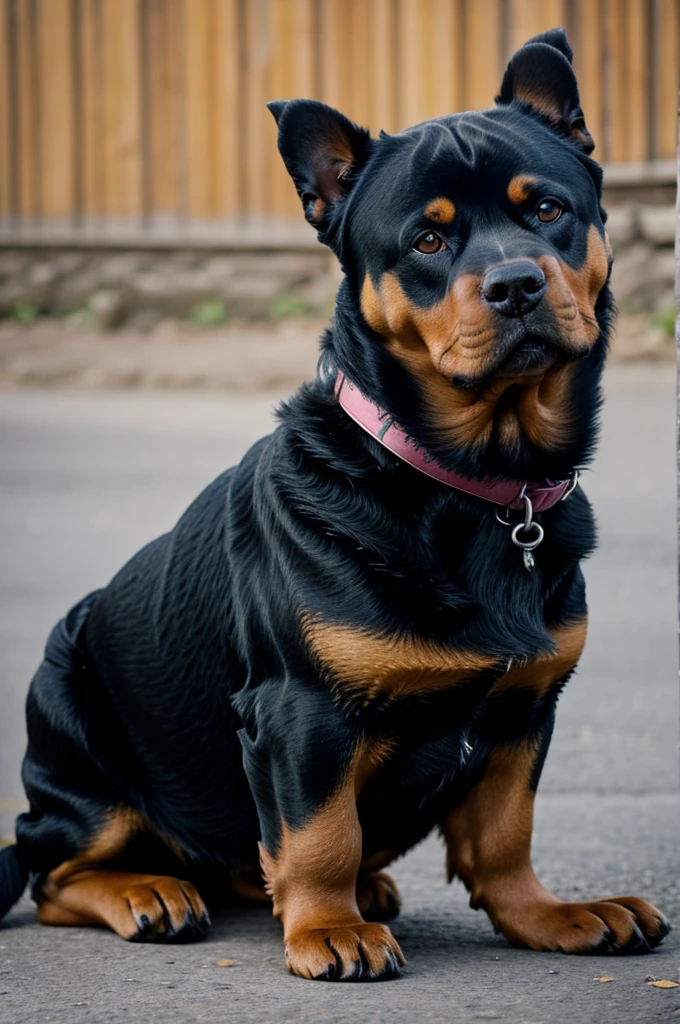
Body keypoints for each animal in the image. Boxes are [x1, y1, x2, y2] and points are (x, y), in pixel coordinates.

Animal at [0, 28, 667, 978]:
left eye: (545, 211)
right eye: (426, 239)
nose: (514, 284)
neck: (464, 482)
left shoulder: (524, 712)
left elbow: (505, 835)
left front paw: (547, 915)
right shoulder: (300, 712)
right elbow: (319, 833)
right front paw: (325, 928)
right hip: (75, 741)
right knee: (52, 866)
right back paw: (146, 891)